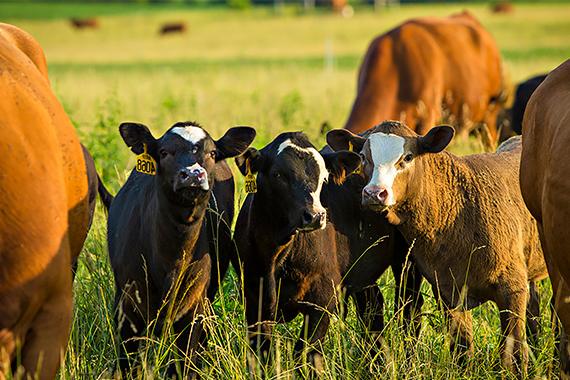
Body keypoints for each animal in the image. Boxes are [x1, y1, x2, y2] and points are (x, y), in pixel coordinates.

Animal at [231, 132, 422, 370]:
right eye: (278, 174)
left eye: (324, 178)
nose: (315, 216)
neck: (276, 256)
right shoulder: (254, 303)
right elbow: (262, 356)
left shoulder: (322, 302)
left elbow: (306, 354)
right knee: (372, 307)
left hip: (408, 262)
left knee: (410, 308)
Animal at [328, 121, 544, 374]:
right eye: (363, 156)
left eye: (408, 157)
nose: (374, 193)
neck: (460, 210)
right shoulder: (448, 291)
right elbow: (462, 348)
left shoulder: (512, 289)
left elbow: (516, 352)